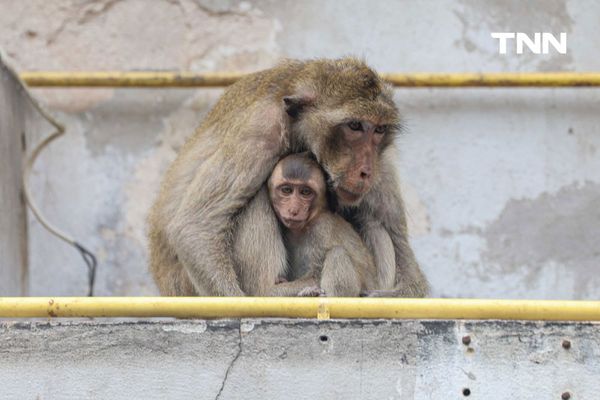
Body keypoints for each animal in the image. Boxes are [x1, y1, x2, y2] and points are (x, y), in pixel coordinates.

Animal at [270, 153, 378, 296]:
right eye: (287, 190)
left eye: (305, 192)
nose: (293, 210)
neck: (307, 223)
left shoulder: (321, 228)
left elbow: (315, 277)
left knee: (337, 254)